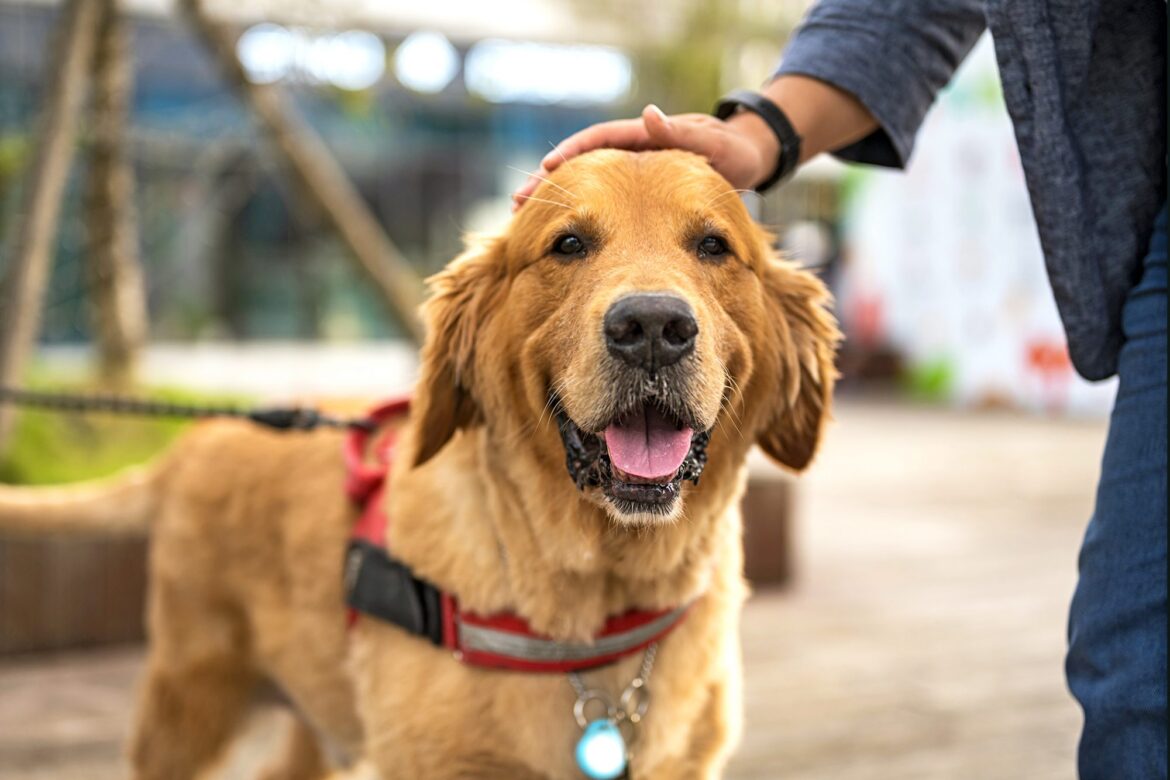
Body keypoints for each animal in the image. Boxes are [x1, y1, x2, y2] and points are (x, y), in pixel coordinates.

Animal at [0, 149, 842, 776]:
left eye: (714, 246)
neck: (598, 604)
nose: (653, 328)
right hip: (190, 704)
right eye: (568, 244)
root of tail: (199, 434)